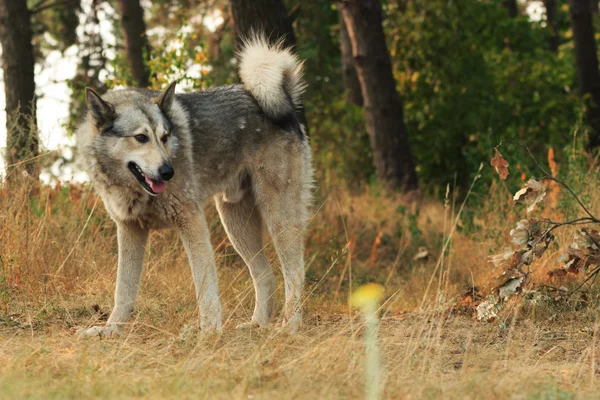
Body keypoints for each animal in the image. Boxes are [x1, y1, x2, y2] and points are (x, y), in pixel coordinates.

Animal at [76, 34, 314, 336]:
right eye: (141, 137)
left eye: (165, 137)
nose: (168, 171)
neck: (131, 189)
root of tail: (287, 102)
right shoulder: (129, 230)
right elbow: (123, 291)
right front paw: (111, 330)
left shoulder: (191, 222)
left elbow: (205, 284)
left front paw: (208, 332)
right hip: (236, 224)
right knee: (265, 274)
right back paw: (256, 324)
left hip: (278, 217)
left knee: (294, 272)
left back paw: (290, 326)